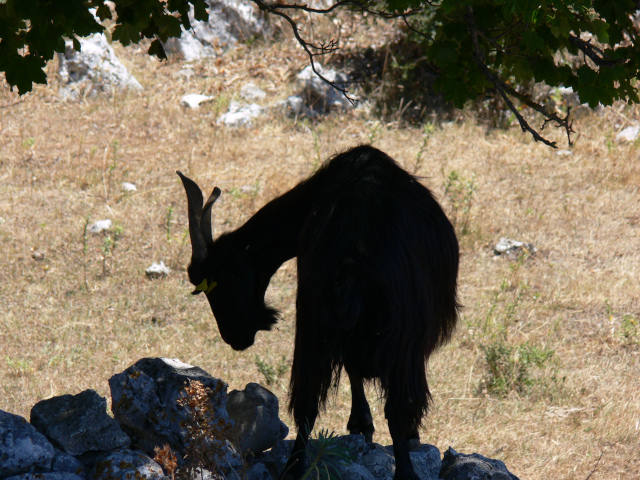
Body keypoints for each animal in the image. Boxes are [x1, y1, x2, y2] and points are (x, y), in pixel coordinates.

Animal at [179, 146, 460, 480]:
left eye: (216, 285)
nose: (234, 337)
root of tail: (352, 259)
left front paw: (360, 425)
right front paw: (374, 427)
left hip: (312, 322)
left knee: (307, 402)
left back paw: (294, 468)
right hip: (400, 332)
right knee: (395, 406)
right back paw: (405, 470)